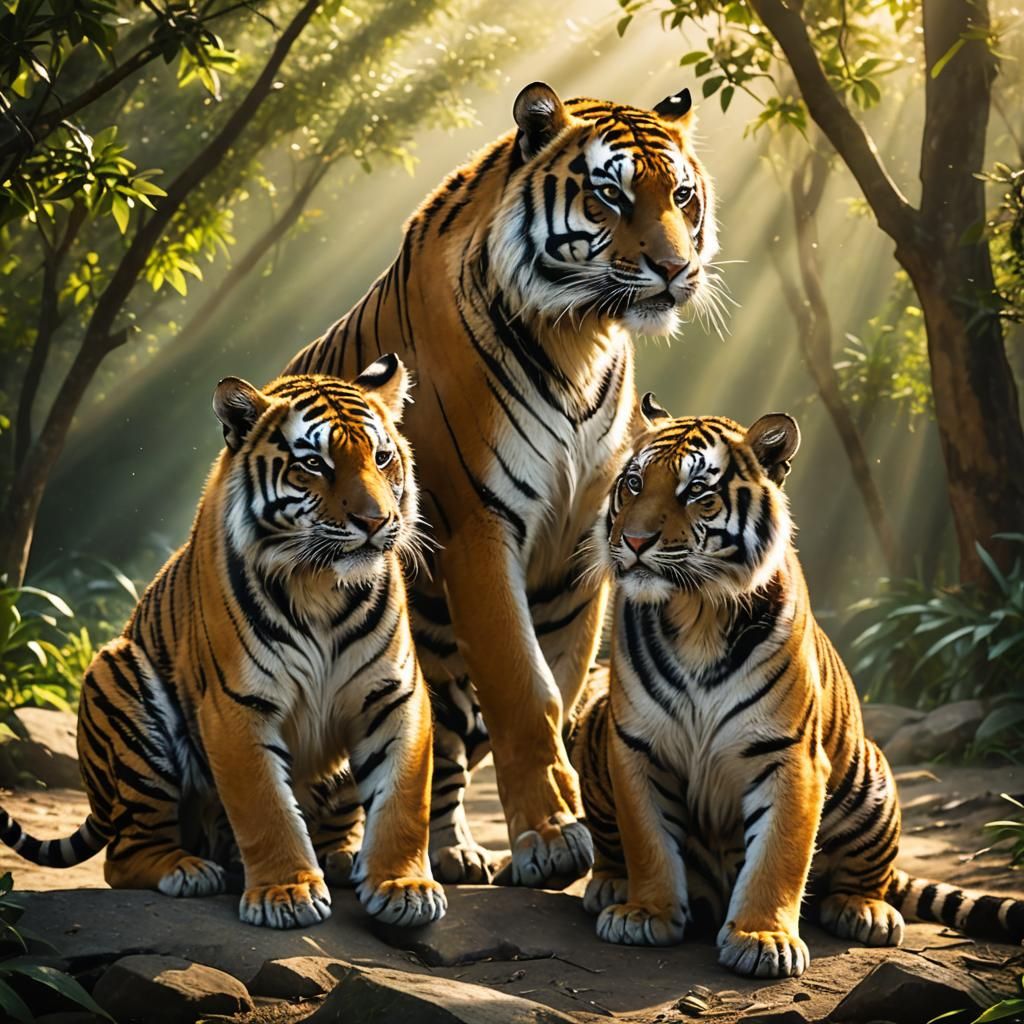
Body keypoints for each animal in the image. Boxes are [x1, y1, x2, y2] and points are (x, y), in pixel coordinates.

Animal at [0, 357, 447, 931]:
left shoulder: (394, 695)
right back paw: (188, 870)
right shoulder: (236, 705)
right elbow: (266, 805)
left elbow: (403, 798)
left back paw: (339, 856)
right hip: (118, 682)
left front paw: (403, 887)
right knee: (124, 855)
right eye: (314, 464)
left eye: (382, 457)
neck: (321, 585)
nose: (375, 521)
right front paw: (287, 894)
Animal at [286, 82, 720, 887]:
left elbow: (560, 679)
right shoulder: (480, 528)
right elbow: (525, 686)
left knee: (447, 736)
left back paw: (449, 850)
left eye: (681, 195)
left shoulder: (584, 546)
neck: (580, 337)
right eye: (610, 195)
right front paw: (553, 836)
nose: (677, 270)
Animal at [568, 395, 1024, 977]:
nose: (633, 540)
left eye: (696, 493)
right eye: (632, 484)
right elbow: (647, 839)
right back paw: (610, 885)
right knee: (610, 846)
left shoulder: (790, 754)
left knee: (868, 877)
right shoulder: (636, 746)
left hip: (872, 773)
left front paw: (762, 938)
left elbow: (779, 854)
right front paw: (645, 912)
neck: (696, 616)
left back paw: (865, 912)